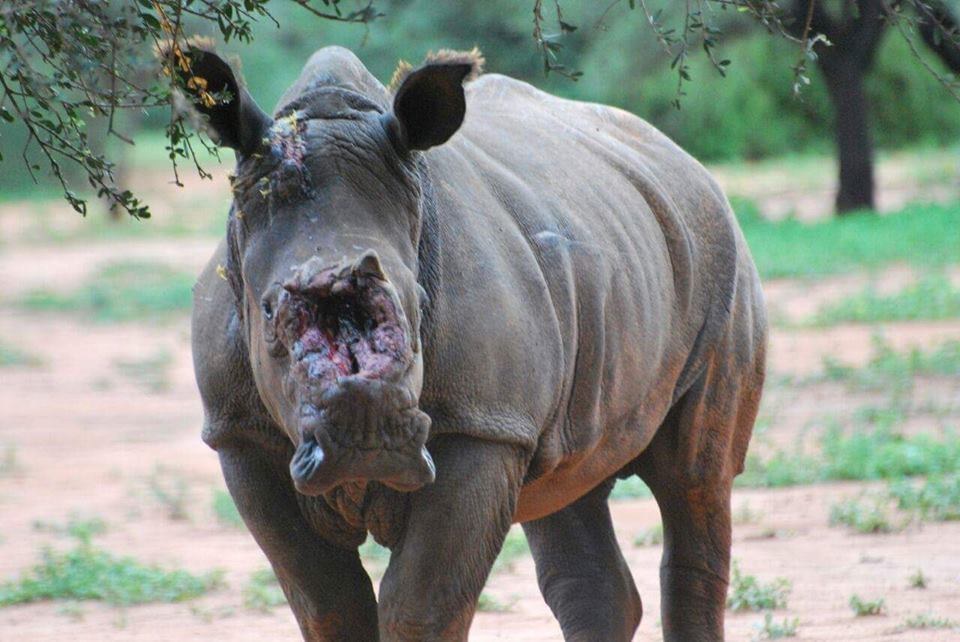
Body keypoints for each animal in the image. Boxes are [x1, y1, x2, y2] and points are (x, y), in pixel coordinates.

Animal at [185, 43, 766, 641]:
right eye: (268, 312)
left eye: (421, 302)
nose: (367, 441)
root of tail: (686, 158)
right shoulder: (239, 433)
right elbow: (327, 604)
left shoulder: (481, 424)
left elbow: (421, 604)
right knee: (568, 483)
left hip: (719, 255)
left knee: (694, 480)